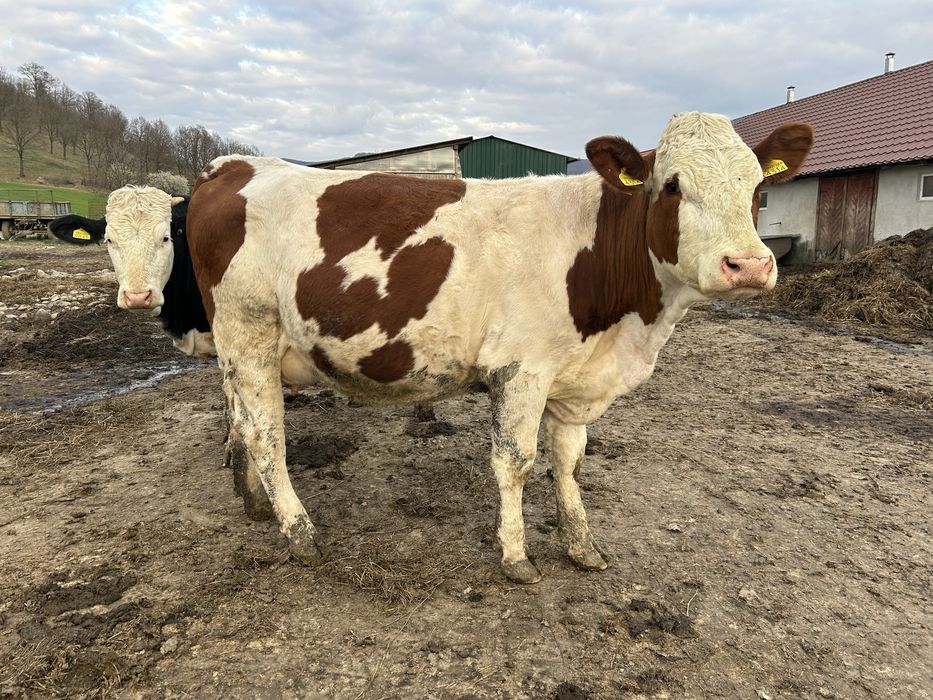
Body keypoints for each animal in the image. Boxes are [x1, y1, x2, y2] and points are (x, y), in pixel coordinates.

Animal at [176, 112, 812, 583]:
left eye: (758, 187)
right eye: (673, 185)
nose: (749, 265)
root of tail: (234, 165)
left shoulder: (573, 379)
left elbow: (569, 461)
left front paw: (581, 546)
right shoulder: (521, 369)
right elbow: (516, 462)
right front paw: (516, 556)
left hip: (240, 351)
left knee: (241, 423)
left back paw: (256, 503)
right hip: (250, 334)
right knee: (267, 435)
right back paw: (299, 532)